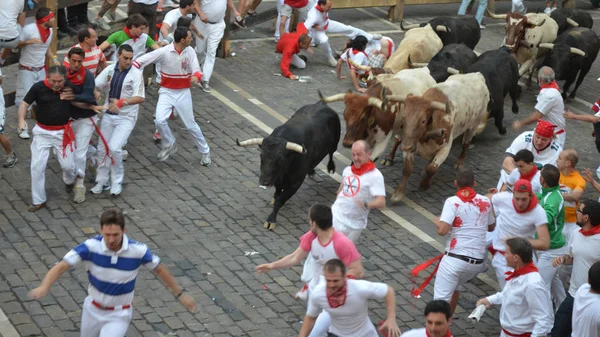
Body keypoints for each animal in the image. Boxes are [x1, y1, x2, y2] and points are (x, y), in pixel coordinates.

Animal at [234, 101, 340, 230]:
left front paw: (271, 219)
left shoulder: (295, 183)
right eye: (261, 156)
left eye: (280, 159)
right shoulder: (278, 181)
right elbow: (278, 193)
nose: (264, 181)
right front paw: (274, 198)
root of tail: (321, 104)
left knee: (331, 152)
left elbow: (280, 200)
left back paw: (330, 167)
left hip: (335, 142)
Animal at [392, 72, 490, 201]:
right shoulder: (411, 143)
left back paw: (460, 162)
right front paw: (399, 193)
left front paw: (424, 184)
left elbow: (432, 169)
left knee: (466, 144)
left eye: (423, 121)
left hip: (473, 126)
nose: (405, 146)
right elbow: (407, 169)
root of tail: (477, 75)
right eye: (404, 117)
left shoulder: (445, 148)